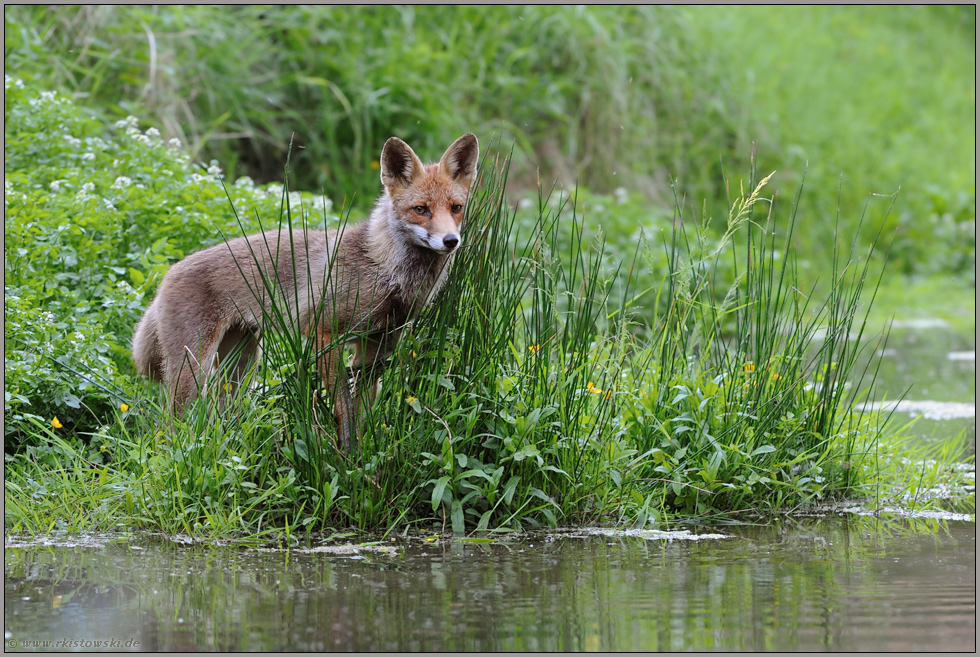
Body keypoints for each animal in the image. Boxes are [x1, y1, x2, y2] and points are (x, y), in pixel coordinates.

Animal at [133, 135, 478, 452]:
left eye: (456, 208)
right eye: (421, 210)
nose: (451, 241)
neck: (382, 267)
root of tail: (165, 276)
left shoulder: (379, 345)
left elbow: (363, 409)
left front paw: (361, 456)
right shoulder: (323, 332)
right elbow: (343, 408)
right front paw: (347, 458)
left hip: (241, 366)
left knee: (221, 413)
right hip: (192, 371)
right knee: (165, 427)